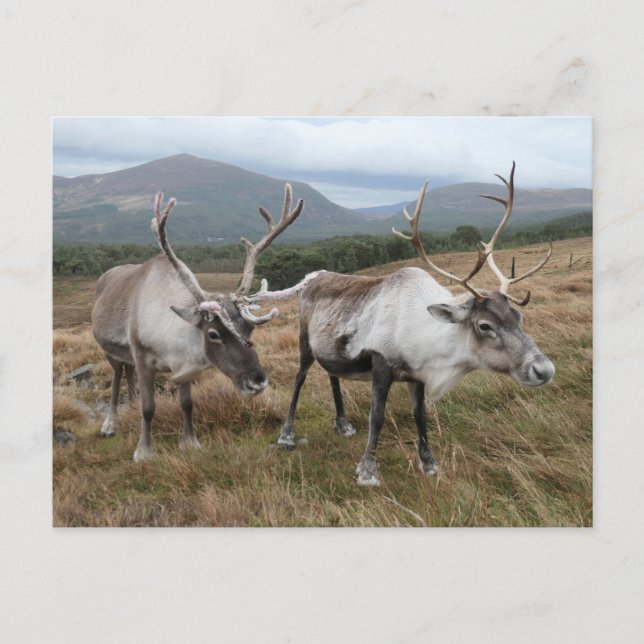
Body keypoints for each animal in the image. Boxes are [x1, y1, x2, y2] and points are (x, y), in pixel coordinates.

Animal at [91, 184, 304, 462]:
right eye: (213, 333)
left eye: (250, 327)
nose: (257, 381)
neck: (170, 342)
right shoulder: (142, 356)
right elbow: (149, 407)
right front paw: (144, 451)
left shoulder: (184, 365)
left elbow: (187, 404)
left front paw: (190, 442)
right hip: (108, 348)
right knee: (117, 376)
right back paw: (110, 424)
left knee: (128, 373)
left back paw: (130, 407)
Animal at [263, 163, 555, 486]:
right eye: (484, 325)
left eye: (518, 316)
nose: (543, 369)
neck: (424, 336)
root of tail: (313, 276)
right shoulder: (380, 365)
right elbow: (377, 416)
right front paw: (367, 470)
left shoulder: (417, 375)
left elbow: (420, 415)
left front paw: (429, 464)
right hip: (304, 341)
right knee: (299, 378)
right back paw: (287, 435)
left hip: (330, 346)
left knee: (332, 374)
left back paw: (343, 424)